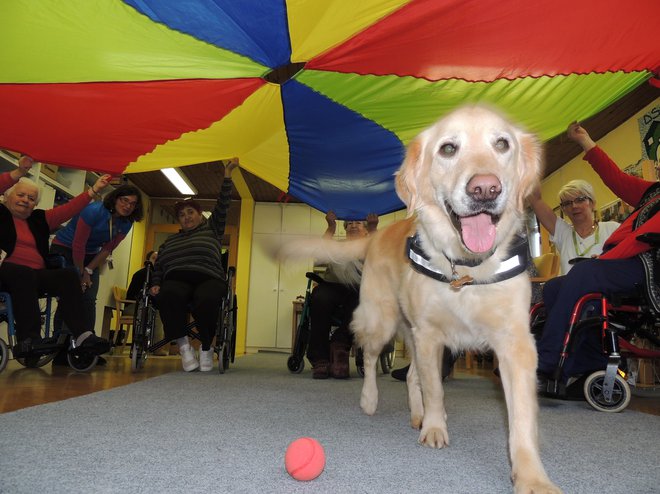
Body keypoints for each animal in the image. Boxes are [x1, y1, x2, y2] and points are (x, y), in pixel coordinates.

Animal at [278, 106, 564, 492]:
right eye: (448, 149)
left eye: (502, 144)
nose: (485, 189)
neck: (465, 271)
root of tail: (378, 234)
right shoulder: (430, 335)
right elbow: (435, 390)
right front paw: (435, 429)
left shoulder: (514, 343)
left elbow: (519, 416)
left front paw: (531, 475)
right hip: (381, 321)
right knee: (370, 357)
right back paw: (371, 399)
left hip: (410, 334)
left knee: (412, 375)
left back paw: (416, 414)